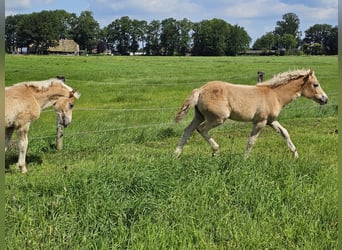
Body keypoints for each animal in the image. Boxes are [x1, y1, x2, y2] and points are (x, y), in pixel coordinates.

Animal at [175, 68, 328, 158]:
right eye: (315, 85)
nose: (325, 99)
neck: (274, 95)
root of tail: (200, 90)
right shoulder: (260, 122)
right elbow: (251, 140)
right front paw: (245, 158)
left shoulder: (271, 120)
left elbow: (284, 133)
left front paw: (295, 155)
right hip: (218, 118)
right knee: (201, 129)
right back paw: (215, 151)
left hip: (199, 116)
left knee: (188, 130)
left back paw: (176, 154)